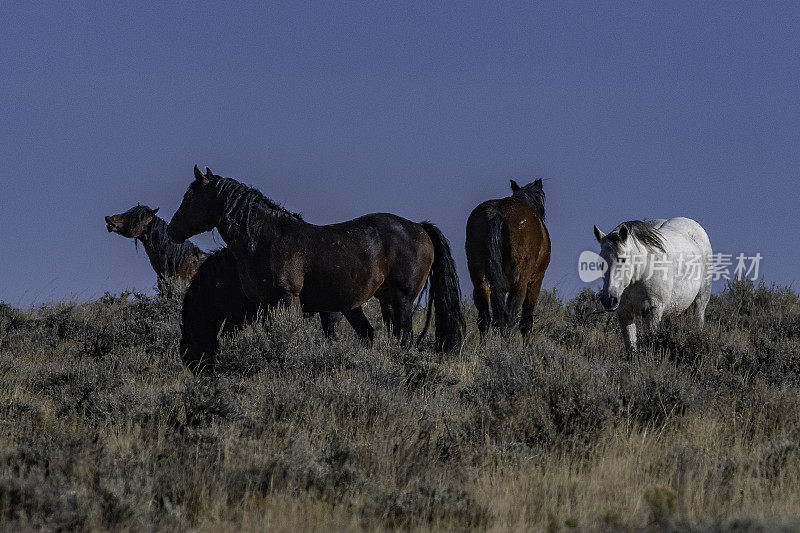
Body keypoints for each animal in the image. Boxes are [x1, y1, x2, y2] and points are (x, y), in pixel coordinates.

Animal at [167, 164, 462, 352]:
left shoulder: (287, 300)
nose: (172, 230)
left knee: (404, 338)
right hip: (386, 301)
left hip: (402, 300)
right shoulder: (262, 305)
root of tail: (419, 227)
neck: (265, 239)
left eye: (191, 197)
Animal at [462, 179, 552, 336]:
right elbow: (526, 323)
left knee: (485, 318)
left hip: (480, 277)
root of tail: (499, 214)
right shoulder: (536, 281)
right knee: (509, 316)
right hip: (520, 281)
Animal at [592, 216, 712, 350]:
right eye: (600, 261)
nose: (609, 300)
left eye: (623, 259)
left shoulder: (651, 311)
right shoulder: (624, 314)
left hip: (700, 301)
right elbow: (631, 347)